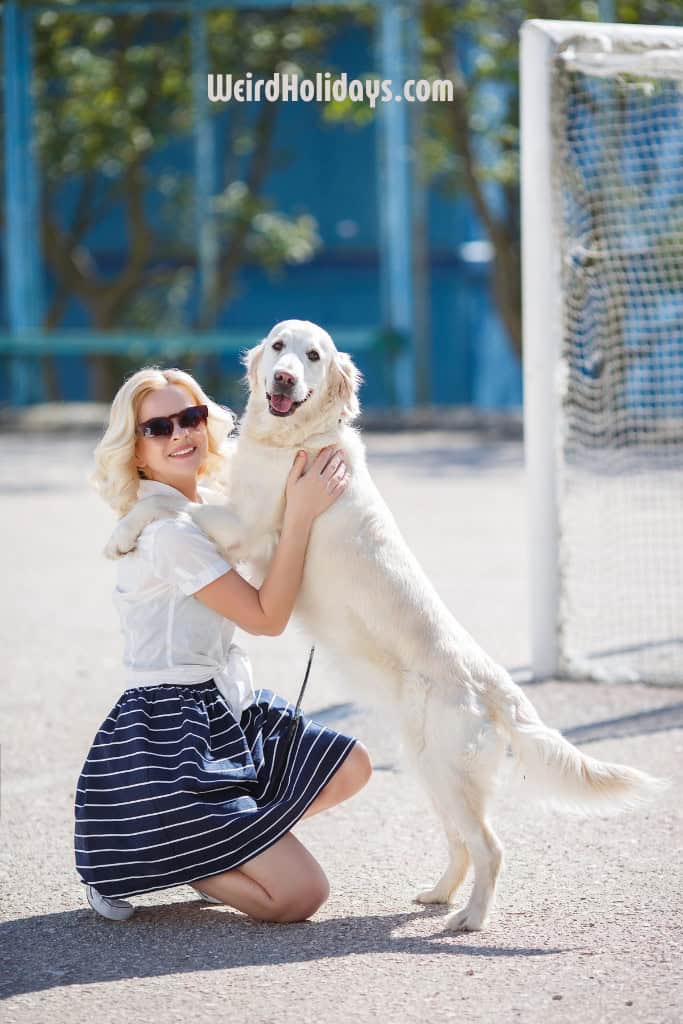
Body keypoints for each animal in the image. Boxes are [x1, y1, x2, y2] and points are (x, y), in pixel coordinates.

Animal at [107, 321, 667, 937]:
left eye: (313, 356)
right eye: (279, 347)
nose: (284, 378)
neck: (294, 441)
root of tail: (495, 683)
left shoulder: (247, 527)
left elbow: (176, 509)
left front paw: (123, 533)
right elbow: (183, 501)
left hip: (448, 769)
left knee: (490, 847)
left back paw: (470, 919)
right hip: (429, 768)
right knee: (462, 843)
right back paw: (439, 895)